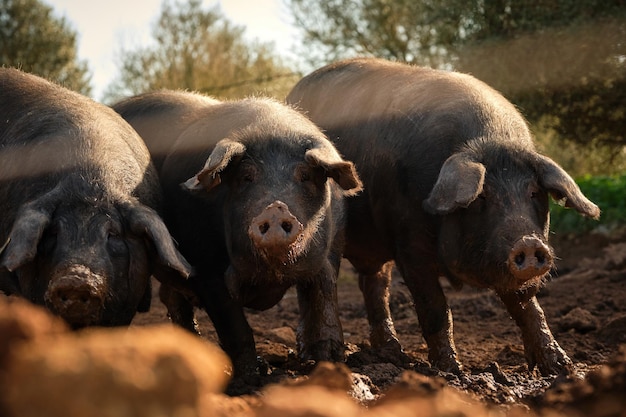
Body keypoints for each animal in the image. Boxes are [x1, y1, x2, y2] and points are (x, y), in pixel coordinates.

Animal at [112, 92, 360, 376]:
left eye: (305, 175)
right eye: (246, 177)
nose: (276, 208)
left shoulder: (333, 250)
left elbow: (324, 297)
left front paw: (331, 363)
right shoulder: (205, 268)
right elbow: (234, 326)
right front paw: (250, 375)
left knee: (171, 297)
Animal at [286, 57, 596, 376]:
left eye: (534, 192)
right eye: (482, 196)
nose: (529, 243)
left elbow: (527, 307)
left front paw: (562, 368)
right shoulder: (409, 245)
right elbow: (435, 308)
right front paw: (451, 370)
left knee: (374, 286)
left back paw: (392, 354)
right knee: (320, 285)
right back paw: (319, 355)